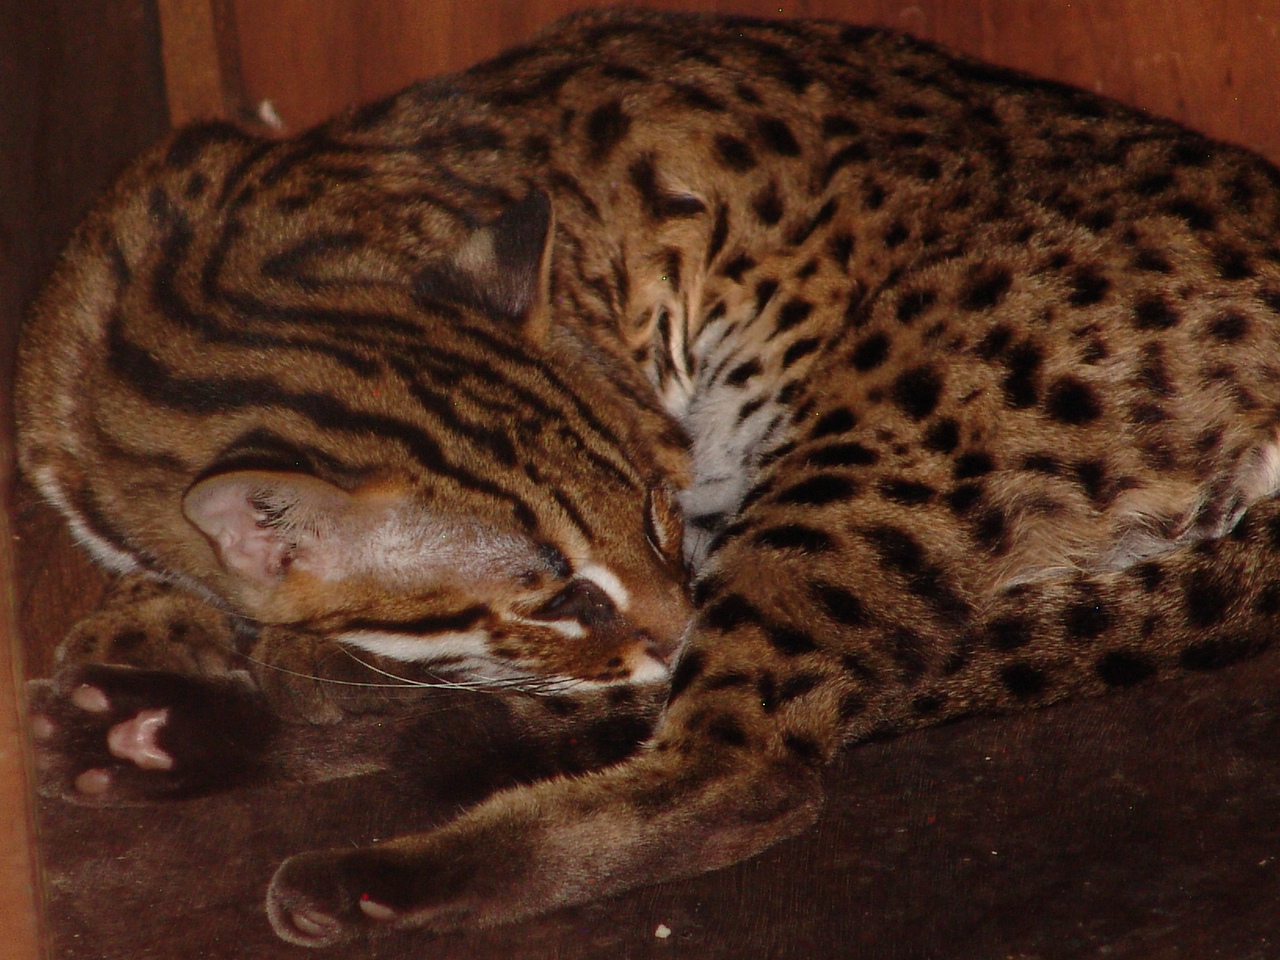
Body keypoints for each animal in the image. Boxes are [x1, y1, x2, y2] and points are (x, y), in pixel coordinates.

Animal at [16, 8, 1280, 947]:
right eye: (564, 596)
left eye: (662, 516)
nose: (673, 623)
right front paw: (146, 627)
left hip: (873, 440)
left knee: (743, 767)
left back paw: (366, 855)